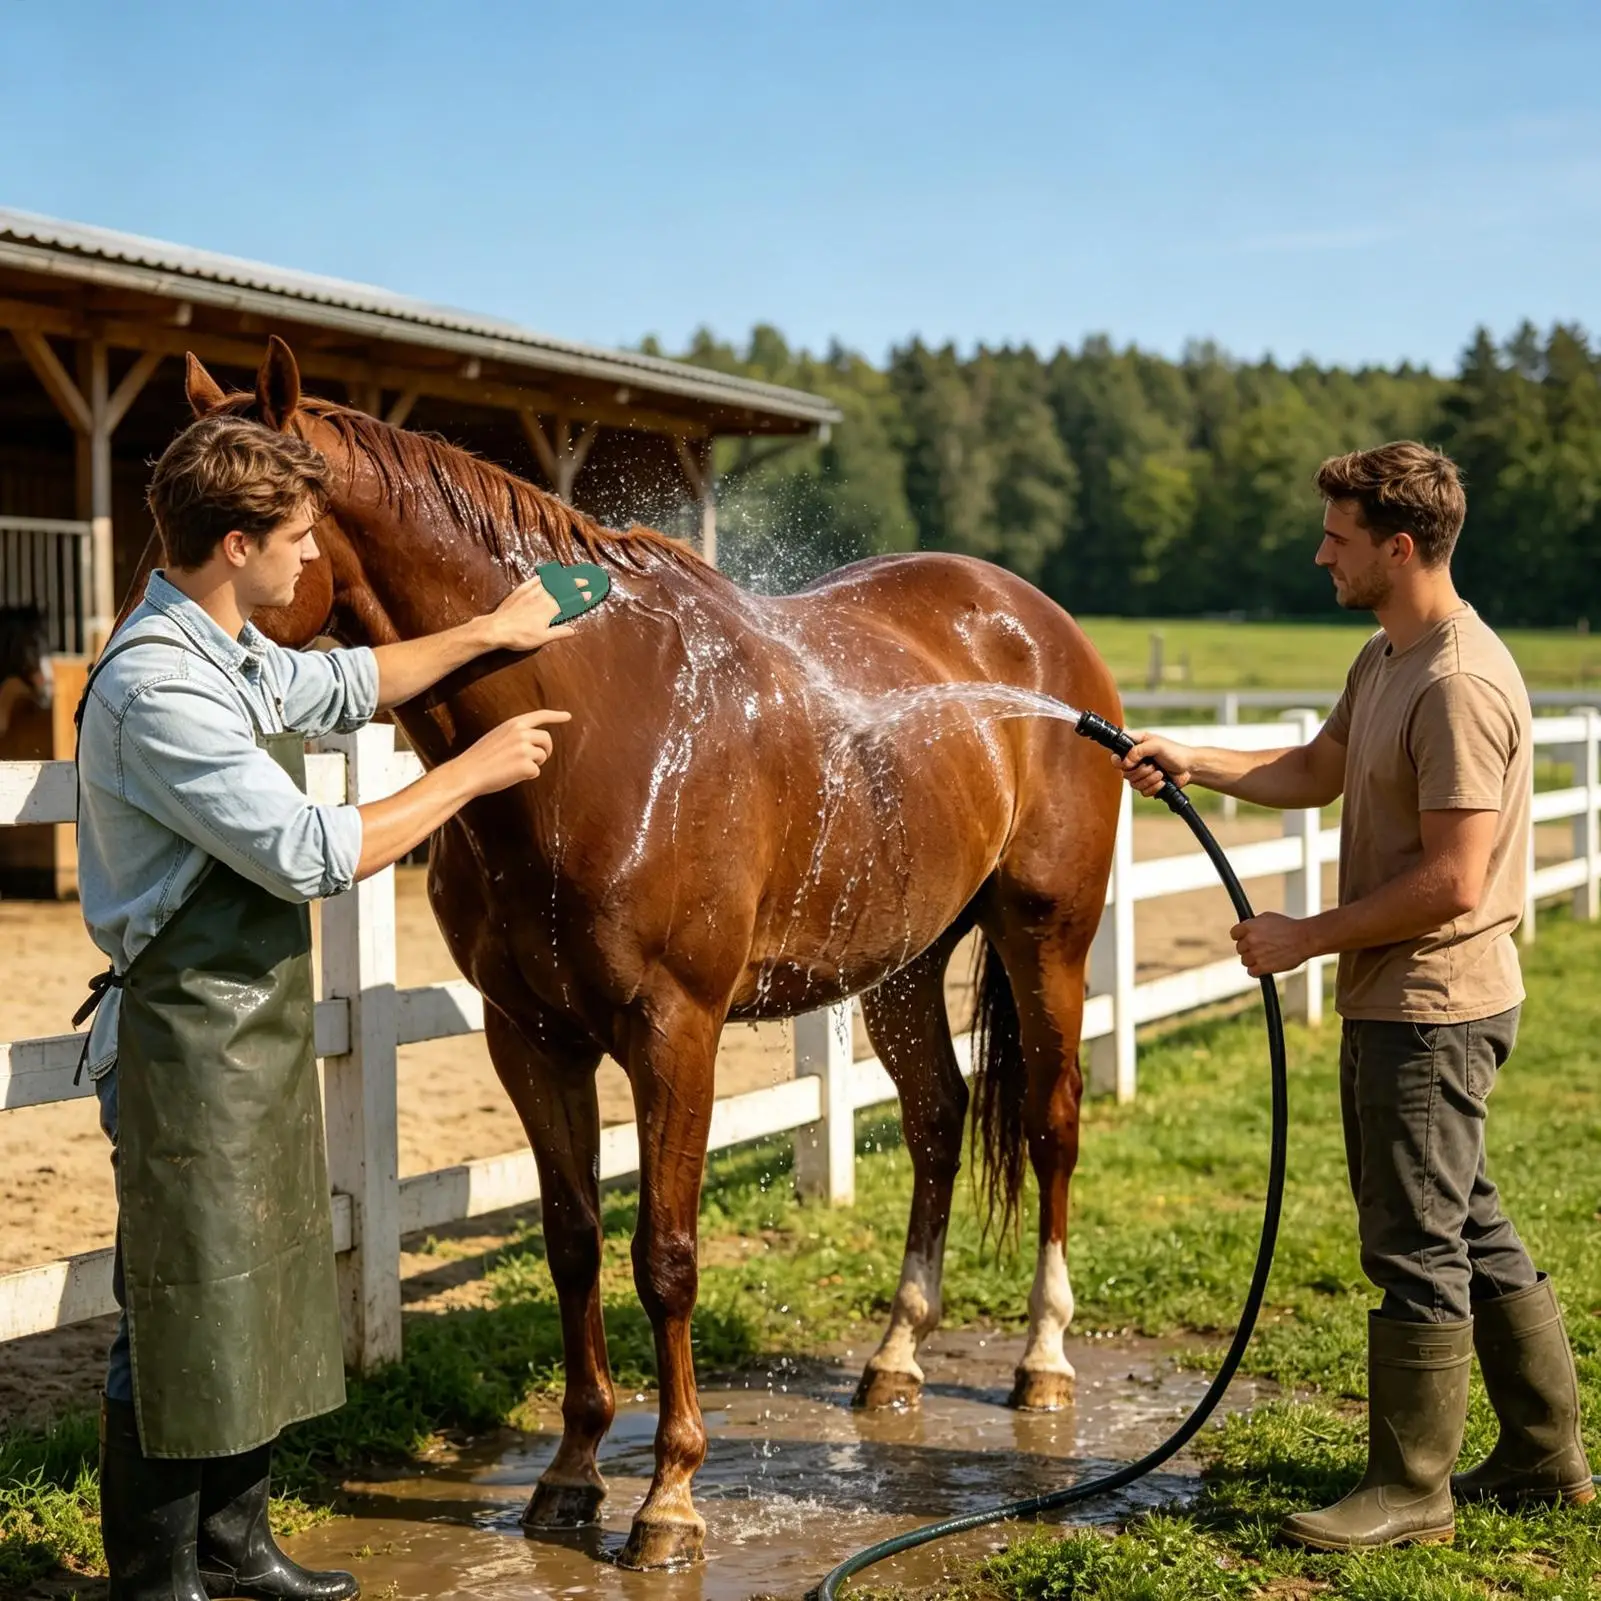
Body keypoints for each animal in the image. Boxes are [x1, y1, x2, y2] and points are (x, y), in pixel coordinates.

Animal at [123, 337, 1124, 1568]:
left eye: (217, 527)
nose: (128, 675)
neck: (597, 727)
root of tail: (1034, 625)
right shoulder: (530, 1037)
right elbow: (573, 1240)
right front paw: (572, 1471)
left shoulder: (673, 1031)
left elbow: (666, 1251)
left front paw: (670, 1496)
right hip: (899, 962)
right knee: (937, 1119)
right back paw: (895, 1354)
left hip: (1046, 935)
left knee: (1049, 1124)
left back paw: (1043, 1357)